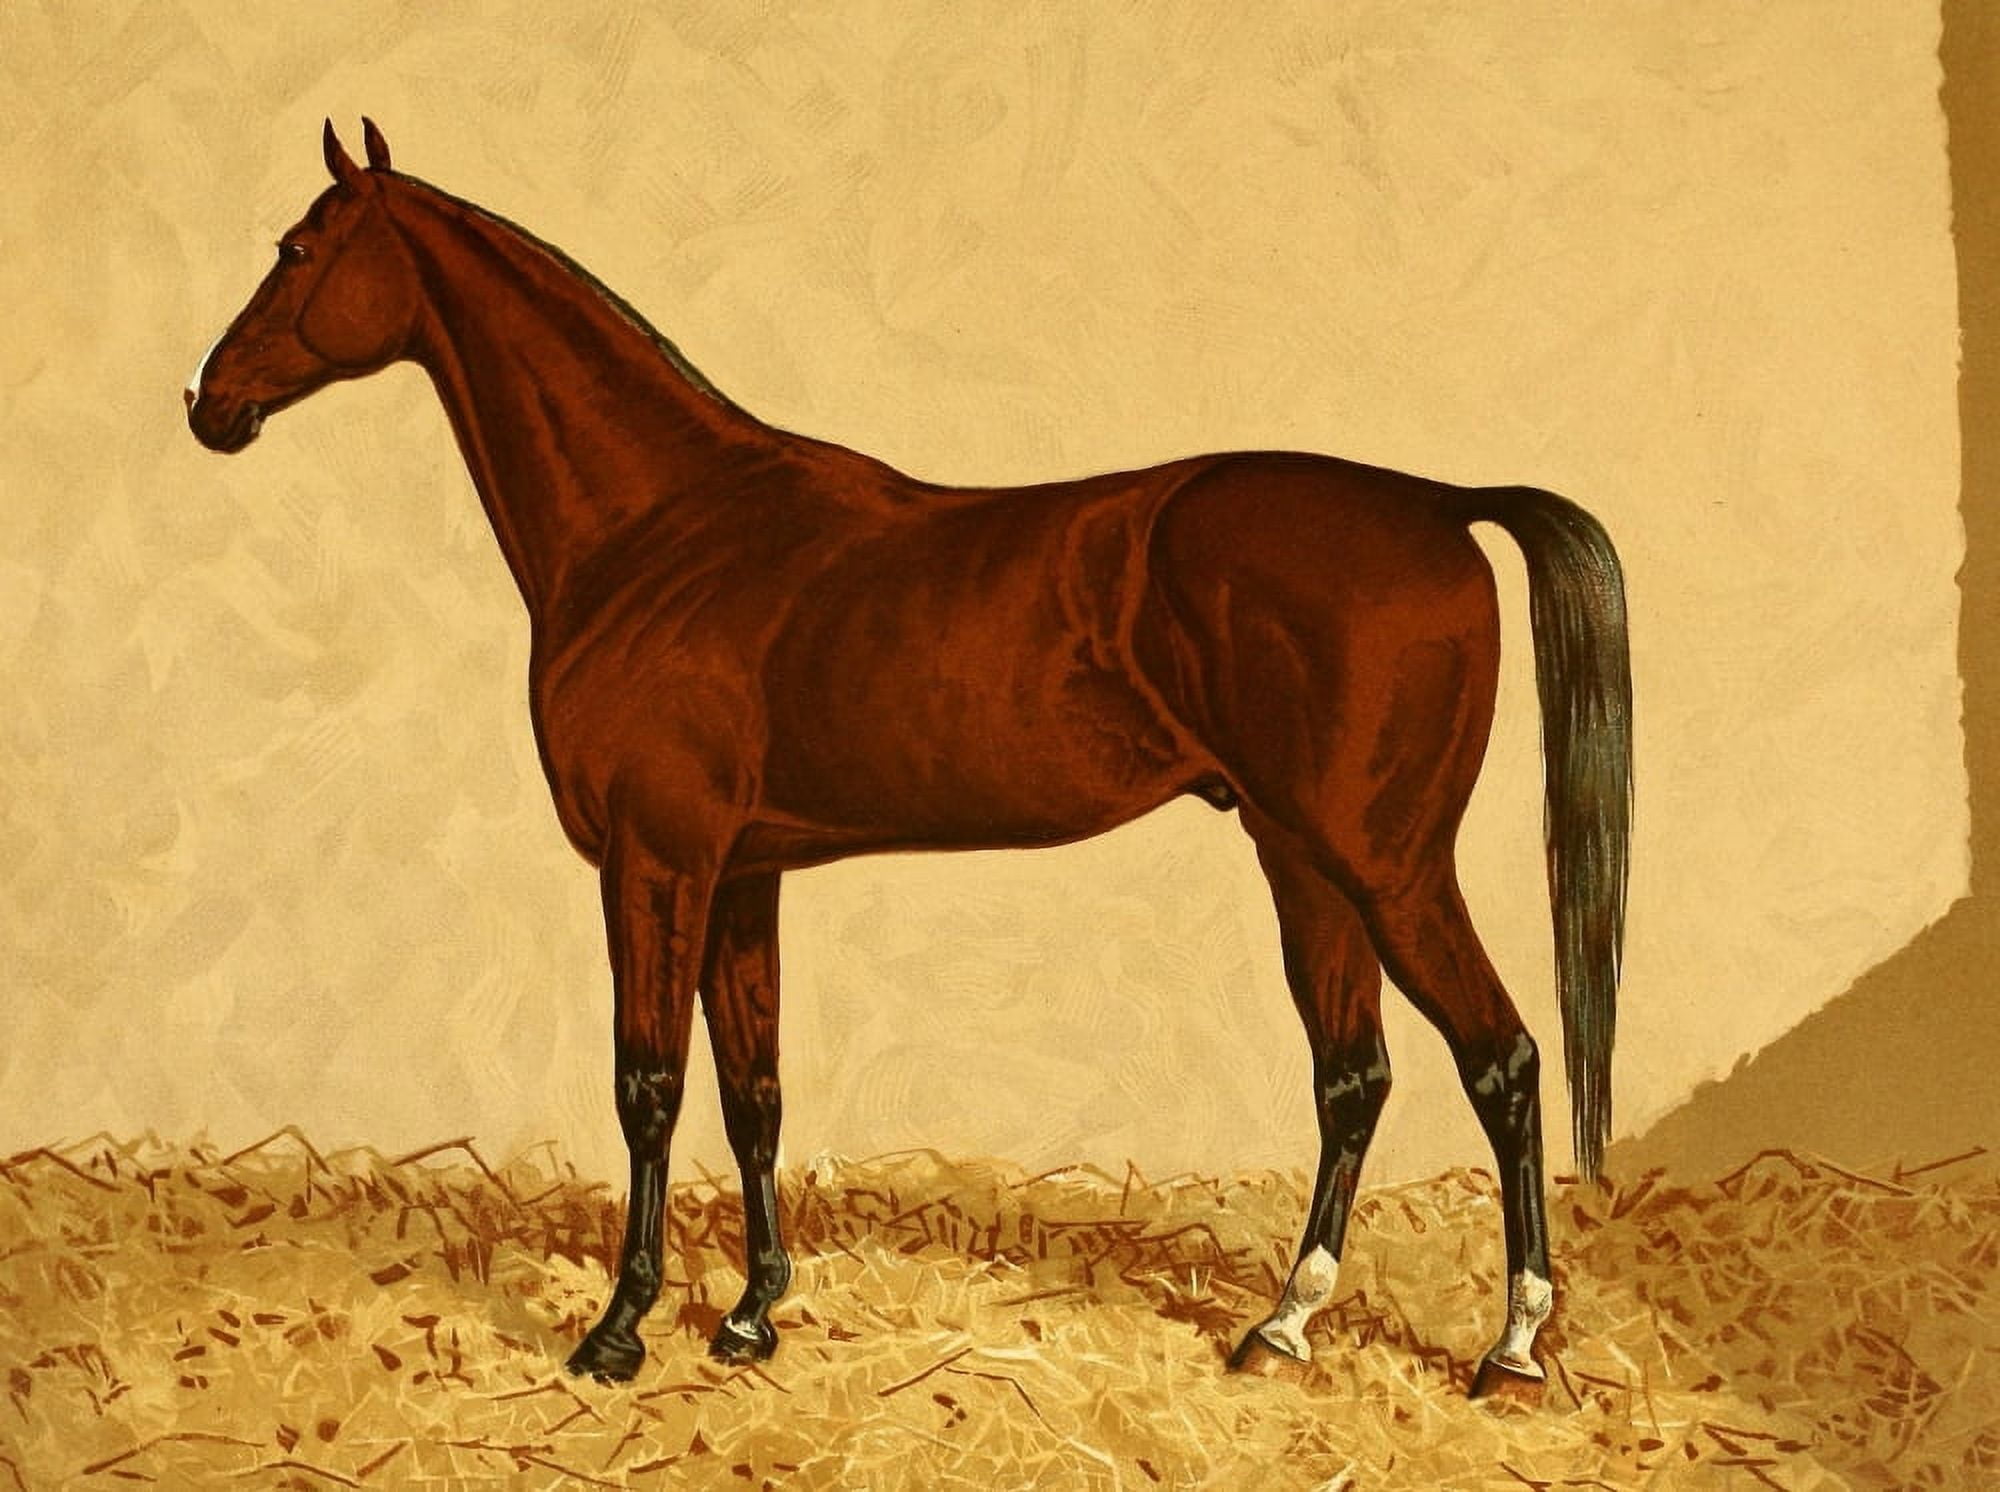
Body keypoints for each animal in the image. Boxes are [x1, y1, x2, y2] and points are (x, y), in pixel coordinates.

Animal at [185, 121, 1631, 1396]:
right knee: (1353, 1075)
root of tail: (1440, 506)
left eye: (299, 248)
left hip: (1386, 863)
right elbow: (753, 1089)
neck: (663, 526)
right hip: (1303, 860)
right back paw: (1280, 1327)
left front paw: (617, 1332)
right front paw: (752, 1317)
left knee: (1501, 1059)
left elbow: (649, 1086)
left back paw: (1510, 1348)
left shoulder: (656, 863)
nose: (208, 403)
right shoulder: (743, 873)